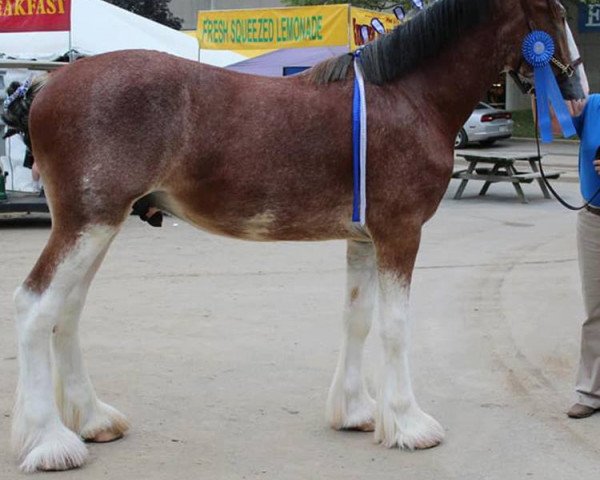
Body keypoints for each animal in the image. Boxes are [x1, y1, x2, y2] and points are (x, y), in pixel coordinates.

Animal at [4, 0, 584, 472]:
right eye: (556, 13)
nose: (578, 96)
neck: (408, 98)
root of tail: (47, 86)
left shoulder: (364, 238)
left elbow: (357, 318)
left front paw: (356, 411)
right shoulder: (400, 233)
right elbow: (395, 327)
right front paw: (408, 423)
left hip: (99, 227)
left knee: (66, 314)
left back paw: (93, 420)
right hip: (88, 223)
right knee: (35, 307)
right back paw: (51, 442)